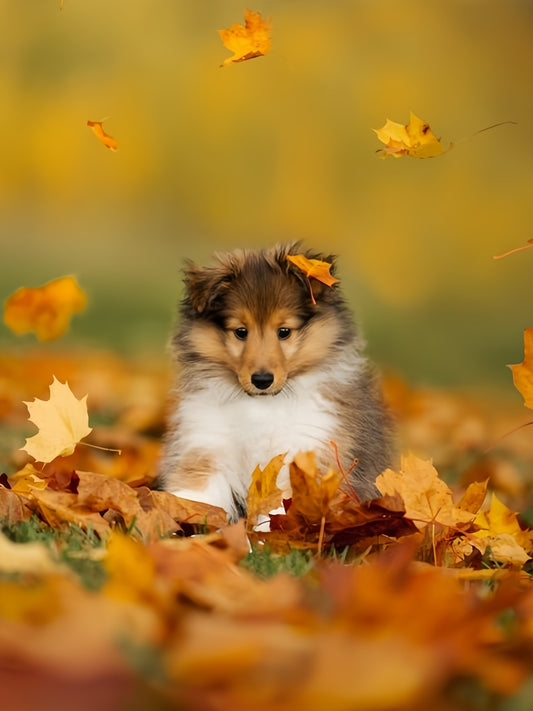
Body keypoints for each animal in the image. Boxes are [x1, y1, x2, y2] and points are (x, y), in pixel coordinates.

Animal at [156, 245, 392, 524]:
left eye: (284, 331)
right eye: (240, 331)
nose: (262, 380)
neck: (261, 406)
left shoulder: (303, 455)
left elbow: (279, 509)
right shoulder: (206, 444)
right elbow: (195, 495)